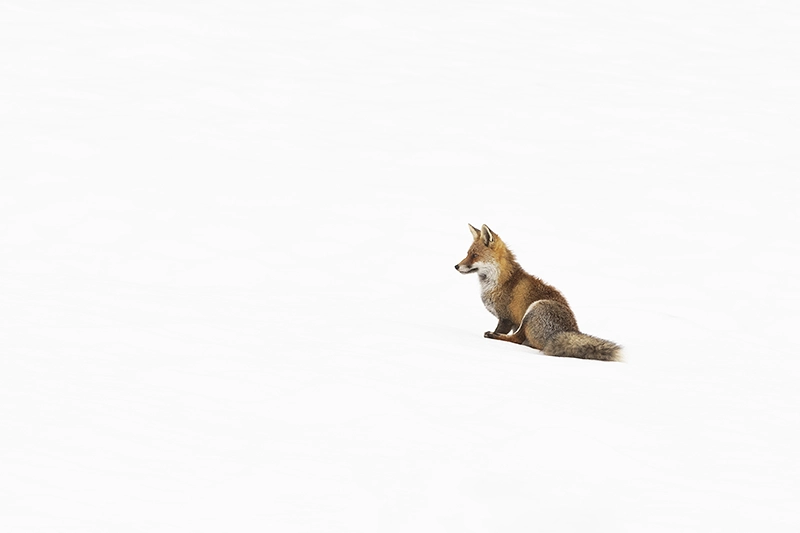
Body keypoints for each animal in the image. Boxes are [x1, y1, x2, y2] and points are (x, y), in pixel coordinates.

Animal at [455, 224, 621, 361]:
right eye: (467, 253)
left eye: (474, 255)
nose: (456, 266)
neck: (499, 281)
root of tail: (570, 330)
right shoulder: (512, 322)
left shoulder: (506, 318)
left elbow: (505, 332)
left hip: (534, 309)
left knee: (517, 339)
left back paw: (492, 335)